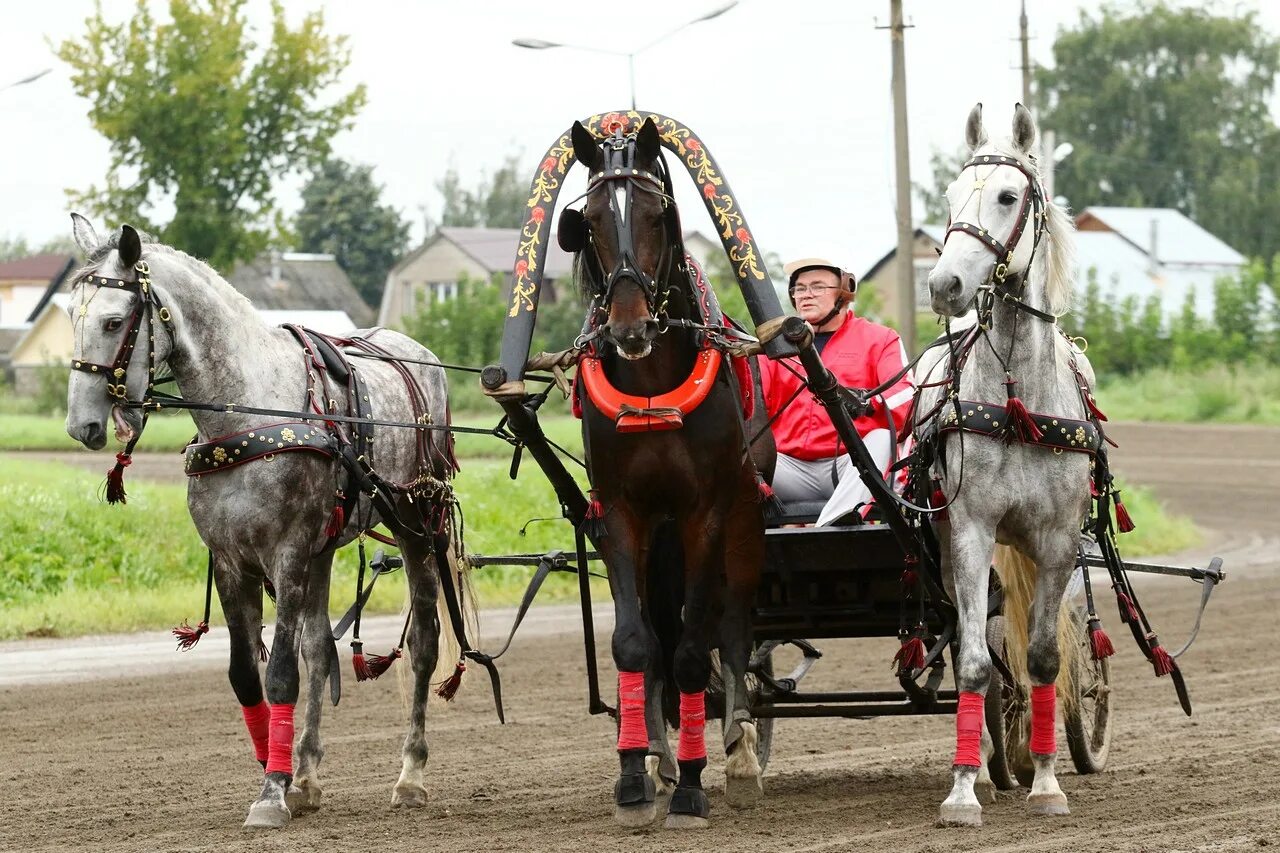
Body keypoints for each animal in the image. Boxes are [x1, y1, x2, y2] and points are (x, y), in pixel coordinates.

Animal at [563, 116, 762, 824]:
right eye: (591, 218)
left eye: (657, 214)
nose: (629, 327)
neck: (651, 386)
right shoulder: (624, 513)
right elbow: (634, 641)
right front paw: (635, 769)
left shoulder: (705, 513)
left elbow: (693, 649)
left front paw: (697, 782)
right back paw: (659, 752)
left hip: (742, 520)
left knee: (731, 623)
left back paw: (740, 746)